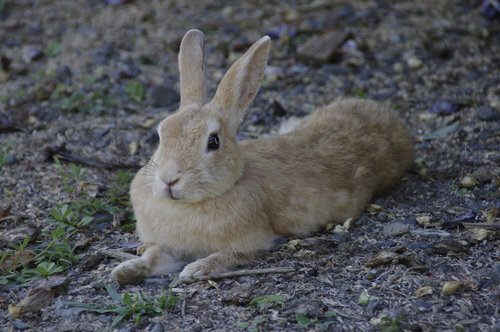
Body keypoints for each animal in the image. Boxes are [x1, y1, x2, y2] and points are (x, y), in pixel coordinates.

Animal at [112, 28, 414, 284]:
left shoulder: (253, 240)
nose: (169, 180)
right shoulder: (168, 246)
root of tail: (394, 122)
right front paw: (124, 271)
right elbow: (154, 256)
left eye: (213, 141)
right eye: (161, 132)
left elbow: (230, 255)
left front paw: (195, 270)